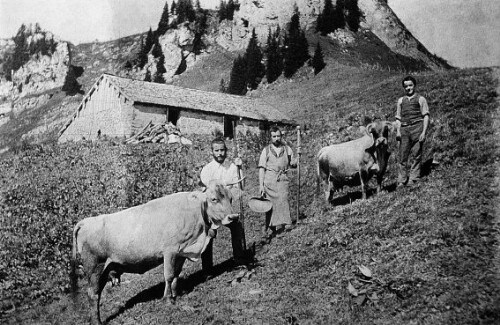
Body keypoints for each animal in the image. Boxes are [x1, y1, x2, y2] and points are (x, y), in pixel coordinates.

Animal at [70, 180, 238, 322]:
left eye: (230, 198)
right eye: (214, 199)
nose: (234, 216)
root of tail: (86, 221)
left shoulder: (181, 252)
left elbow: (176, 274)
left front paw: (176, 294)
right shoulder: (170, 251)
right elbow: (169, 275)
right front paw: (167, 299)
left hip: (104, 269)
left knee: (97, 293)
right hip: (95, 268)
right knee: (92, 294)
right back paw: (96, 321)